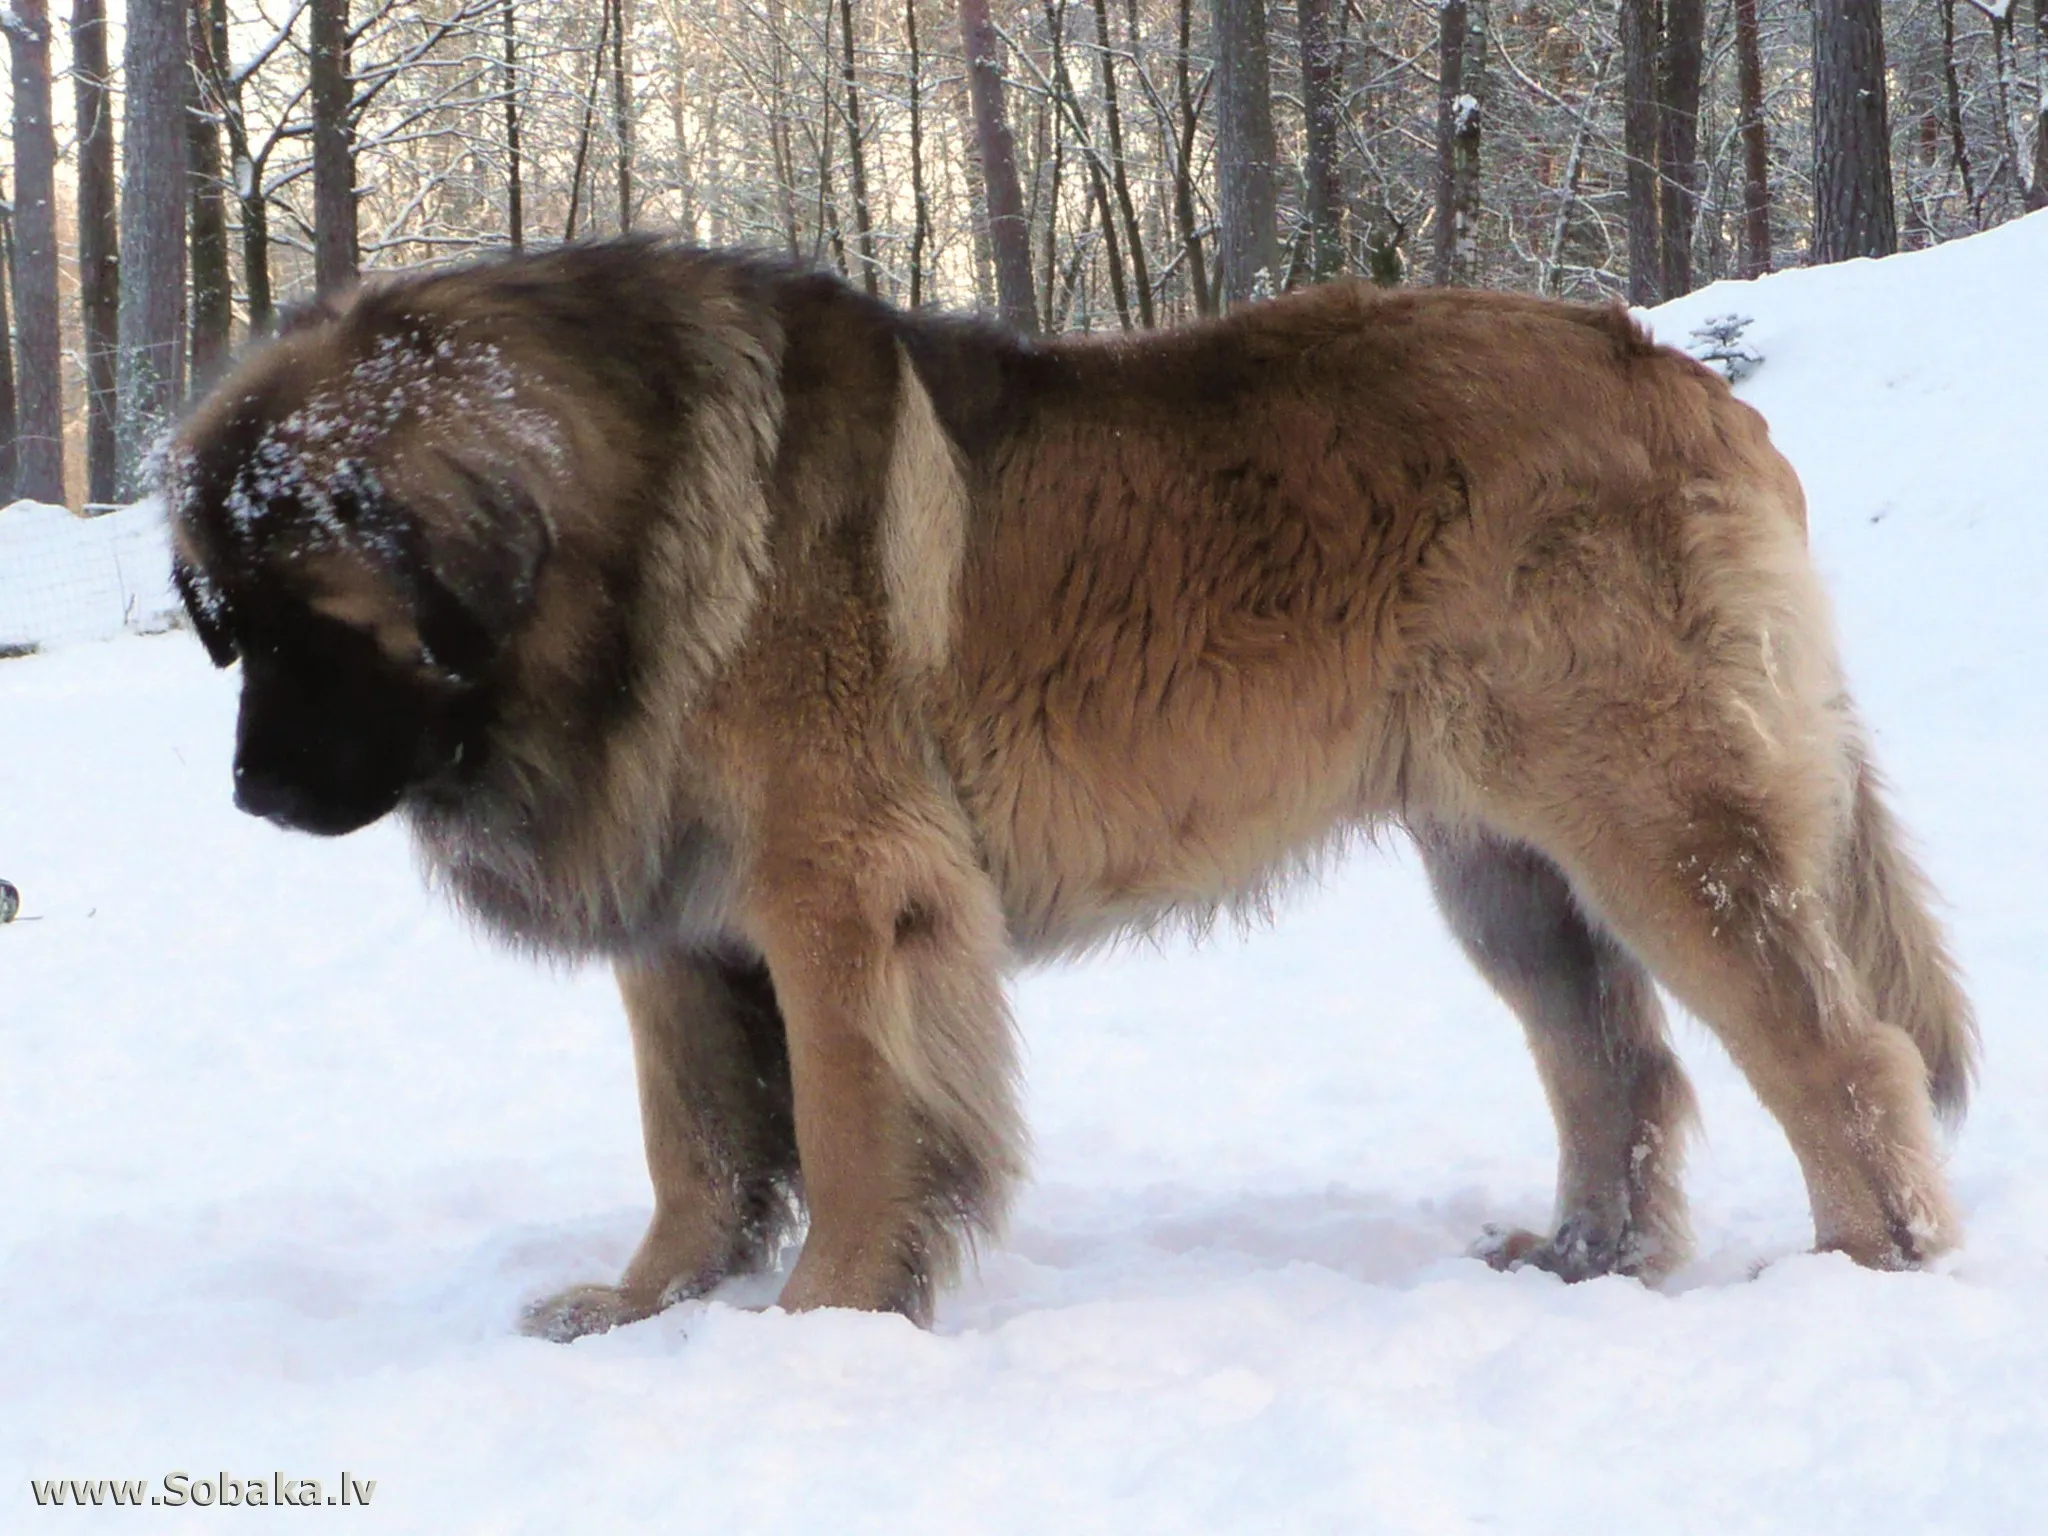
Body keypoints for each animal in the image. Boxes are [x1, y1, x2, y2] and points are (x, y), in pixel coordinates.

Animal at [167, 240, 1974, 1335]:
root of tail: (1681, 375)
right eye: (223, 626)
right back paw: (1585, 1265)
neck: (622, 536)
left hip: (1653, 813)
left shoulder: (844, 893)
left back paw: (1869, 1266)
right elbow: (698, 1140)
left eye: (321, 626)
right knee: (1617, 1067)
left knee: (1839, 1052)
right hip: (1503, 866)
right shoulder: (674, 918)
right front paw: (646, 1306)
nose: (250, 791)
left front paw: (824, 1321)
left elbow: (853, 1120)